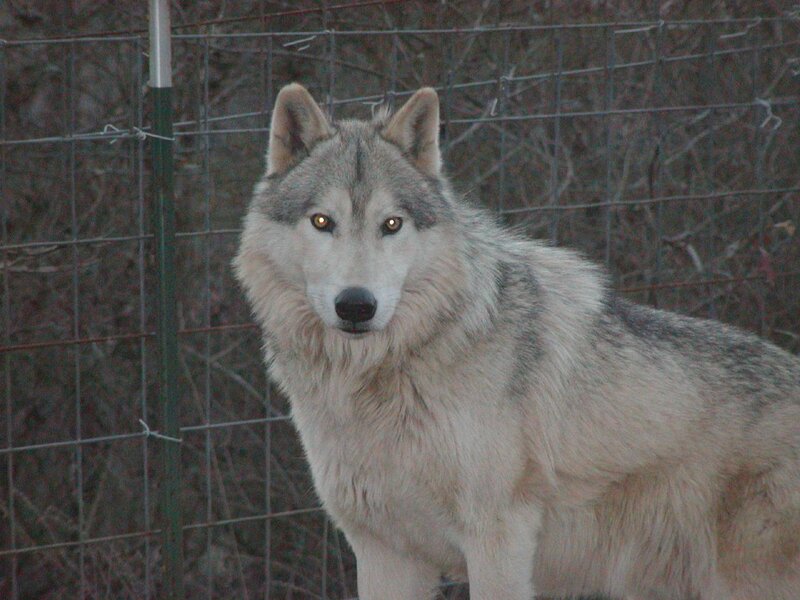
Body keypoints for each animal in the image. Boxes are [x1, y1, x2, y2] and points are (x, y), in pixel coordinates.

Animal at [234, 83, 800, 599]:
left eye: (391, 224)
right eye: (322, 221)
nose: (356, 305)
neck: (384, 376)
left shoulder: (499, 537)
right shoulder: (383, 550)